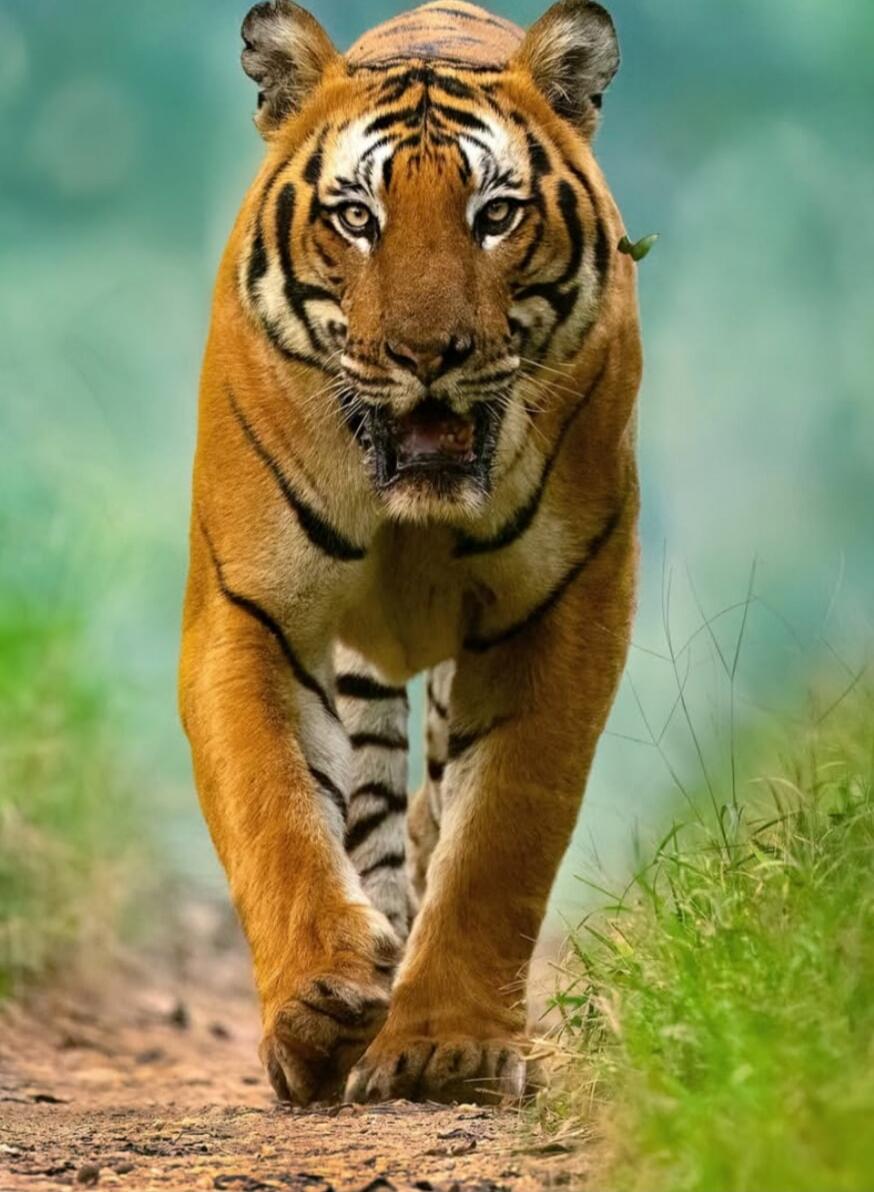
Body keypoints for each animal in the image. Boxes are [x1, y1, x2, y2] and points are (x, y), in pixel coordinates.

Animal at [180, 0, 642, 1106]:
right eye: (356, 218)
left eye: (496, 214)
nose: (428, 356)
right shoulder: (249, 608)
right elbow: (276, 811)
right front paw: (319, 1005)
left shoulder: (567, 606)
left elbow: (500, 840)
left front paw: (445, 1048)